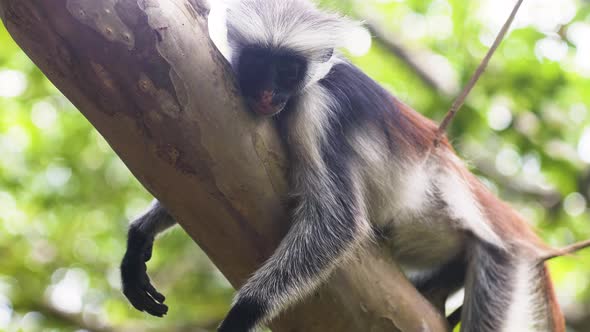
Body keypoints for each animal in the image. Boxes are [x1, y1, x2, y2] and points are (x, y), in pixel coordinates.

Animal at [122, 0, 572, 330]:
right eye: (256, 64)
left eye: (287, 70)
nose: (267, 95)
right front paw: (140, 233)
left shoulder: (317, 110)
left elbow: (337, 223)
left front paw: (241, 315)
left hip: (502, 263)